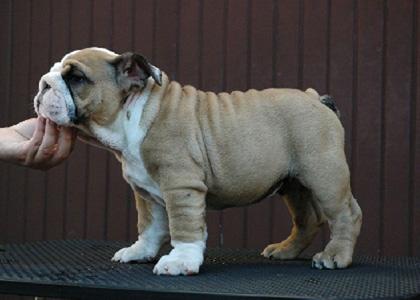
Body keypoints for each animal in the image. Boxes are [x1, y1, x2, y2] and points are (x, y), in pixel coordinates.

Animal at [33, 47, 360, 276]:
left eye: (76, 78)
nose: (43, 84)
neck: (131, 114)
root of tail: (315, 98)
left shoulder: (181, 186)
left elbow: (184, 227)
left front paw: (180, 261)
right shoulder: (146, 192)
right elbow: (149, 225)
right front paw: (140, 251)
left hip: (324, 175)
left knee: (347, 214)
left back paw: (334, 257)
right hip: (293, 184)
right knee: (308, 218)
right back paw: (285, 250)